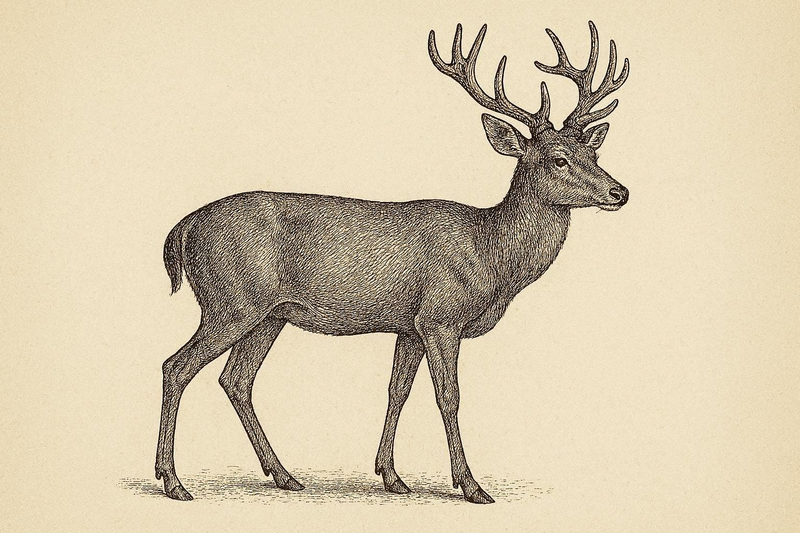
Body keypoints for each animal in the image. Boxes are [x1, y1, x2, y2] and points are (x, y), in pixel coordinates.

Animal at [155, 21, 630, 504]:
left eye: (594, 154)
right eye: (558, 158)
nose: (620, 192)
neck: (490, 256)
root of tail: (182, 230)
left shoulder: (409, 325)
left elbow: (396, 391)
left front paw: (391, 475)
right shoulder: (440, 317)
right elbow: (449, 396)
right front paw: (471, 485)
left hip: (269, 315)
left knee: (236, 379)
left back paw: (284, 475)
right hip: (230, 302)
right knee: (176, 367)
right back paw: (173, 481)